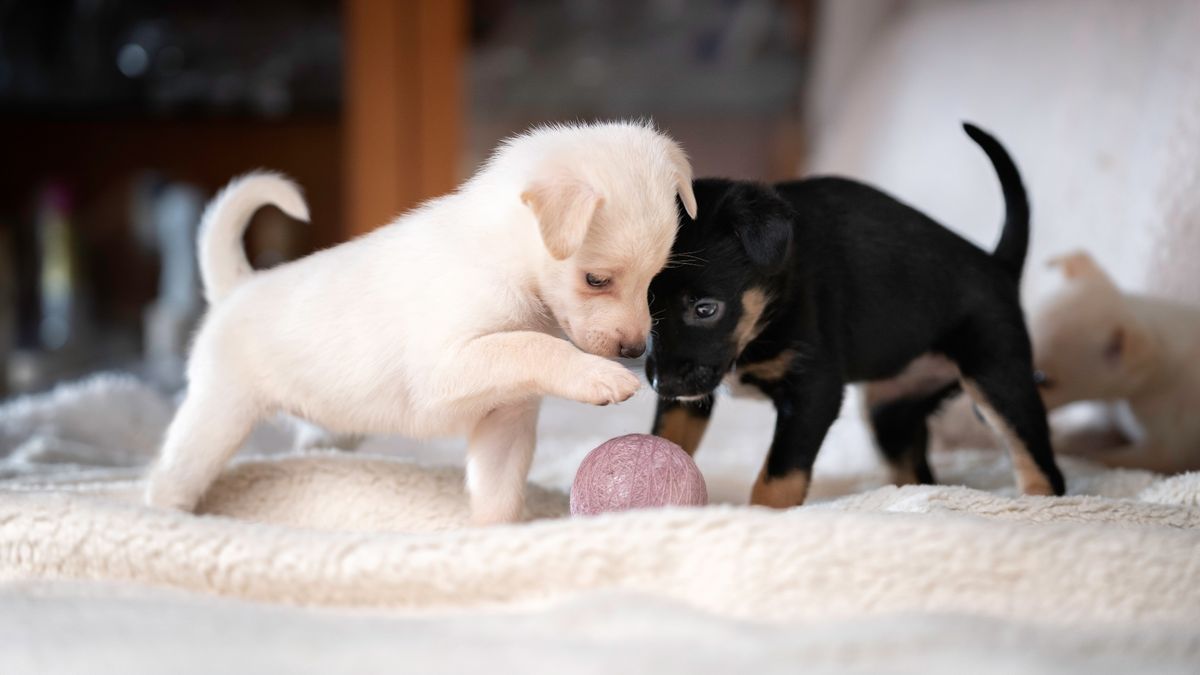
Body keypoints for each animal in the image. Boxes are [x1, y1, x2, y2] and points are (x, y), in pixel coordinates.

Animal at [145, 119, 700, 521]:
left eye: (653, 279)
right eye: (596, 280)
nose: (634, 352)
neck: (506, 260)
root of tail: (238, 288)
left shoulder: (507, 419)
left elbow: (498, 492)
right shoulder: (444, 368)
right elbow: (532, 345)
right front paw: (598, 376)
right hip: (217, 416)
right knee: (169, 476)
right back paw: (166, 519)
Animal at [652, 123, 1065, 506]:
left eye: (706, 309)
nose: (661, 383)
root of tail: (997, 265)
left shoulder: (813, 390)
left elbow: (778, 476)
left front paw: (762, 517)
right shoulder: (689, 400)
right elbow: (667, 437)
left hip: (998, 379)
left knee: (1039, 463)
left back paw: (1037, 501)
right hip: (891, 411)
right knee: (919, 472)